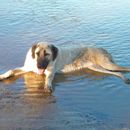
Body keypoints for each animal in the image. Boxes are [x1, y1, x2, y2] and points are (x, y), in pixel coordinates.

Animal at [0, 42, 130, 92]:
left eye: (47, 54)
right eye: (37, 53)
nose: (39, 65)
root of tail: (102, 48)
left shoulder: (50, 72)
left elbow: (48, 78)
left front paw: (47, 86)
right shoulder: (27, 68)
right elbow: (11, 70)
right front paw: (2, 76)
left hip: (106, 64)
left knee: (124, 69)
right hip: (96, 67)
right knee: (117, 73)